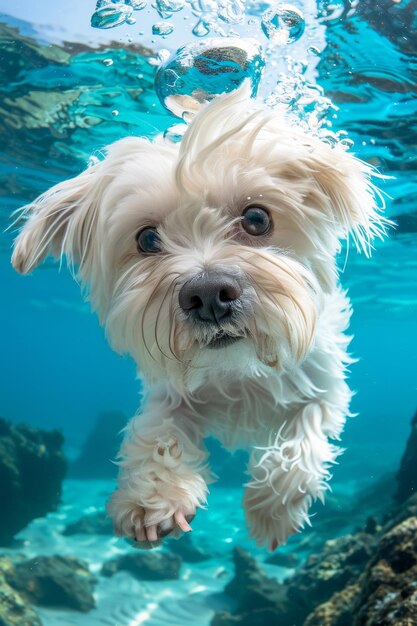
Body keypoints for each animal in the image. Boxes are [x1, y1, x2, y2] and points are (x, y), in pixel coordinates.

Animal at [10, 85, 386, 548]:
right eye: (147, 239)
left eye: (257, 218)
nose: (207, 294)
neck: (238, 368)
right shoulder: (167, 393)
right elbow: (160, 434)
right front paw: (152, 500)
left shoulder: (323, 386)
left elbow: (300, 444)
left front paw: (271, 512)